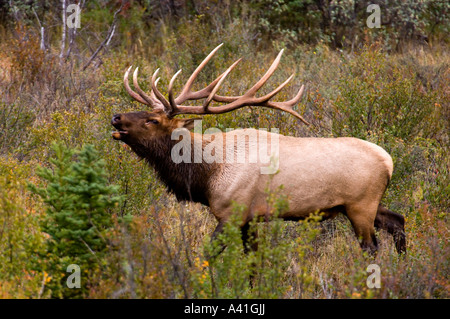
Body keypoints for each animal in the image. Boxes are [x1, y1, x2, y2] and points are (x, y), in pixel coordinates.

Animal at [110, 43, 406, 256]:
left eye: (153, 120)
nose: (116, 117)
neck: (207, 175)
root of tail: (389, 161)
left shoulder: (233, 212)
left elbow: (208, 255)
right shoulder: (252, 220)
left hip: (360, 205)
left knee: (371, 247)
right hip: (363, 204)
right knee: (398, 221)